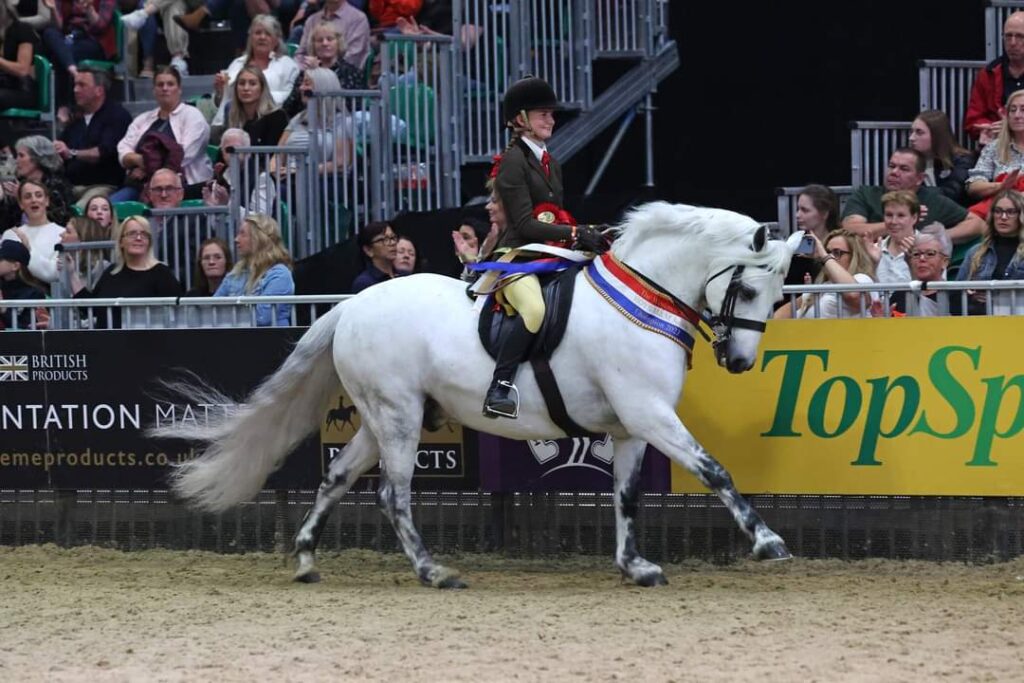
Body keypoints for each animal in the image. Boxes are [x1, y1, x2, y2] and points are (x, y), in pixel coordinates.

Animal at [155, 201, 802, 589]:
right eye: (747, 288)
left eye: (779, 297)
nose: (740, 362)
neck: (644, 297)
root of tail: (350, 306)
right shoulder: (650, 415)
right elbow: (715, 471)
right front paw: (768, 540)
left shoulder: (629, 427)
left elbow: (626, 497)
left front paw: (634, 565)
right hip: (399, 417)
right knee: (391, 495)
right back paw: (432, 571)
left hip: (381, 416)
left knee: (336, 477)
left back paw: (309, 559)